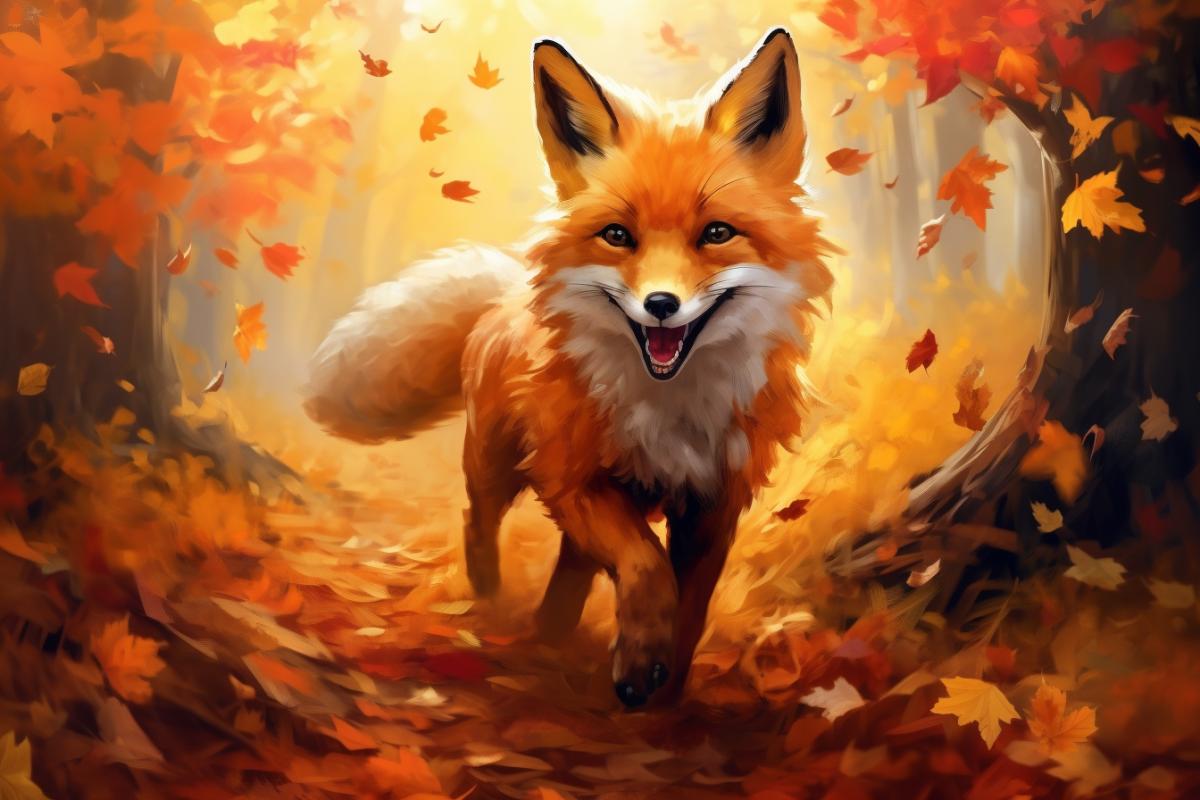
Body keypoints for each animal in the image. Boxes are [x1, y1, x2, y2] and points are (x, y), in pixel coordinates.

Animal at [305, 28, 834, 707]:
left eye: (717, 233)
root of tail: (505, 294)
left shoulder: (713, 504)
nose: (661, 305)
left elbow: (688, 607)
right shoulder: (575, 478)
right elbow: (646, 566)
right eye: (618, 235)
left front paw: (665, 687)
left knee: (572, 566)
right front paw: (640, 663)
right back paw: (492, 598)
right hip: (497, 462)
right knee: (478, 519)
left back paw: (551, 633)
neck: (672, 410)